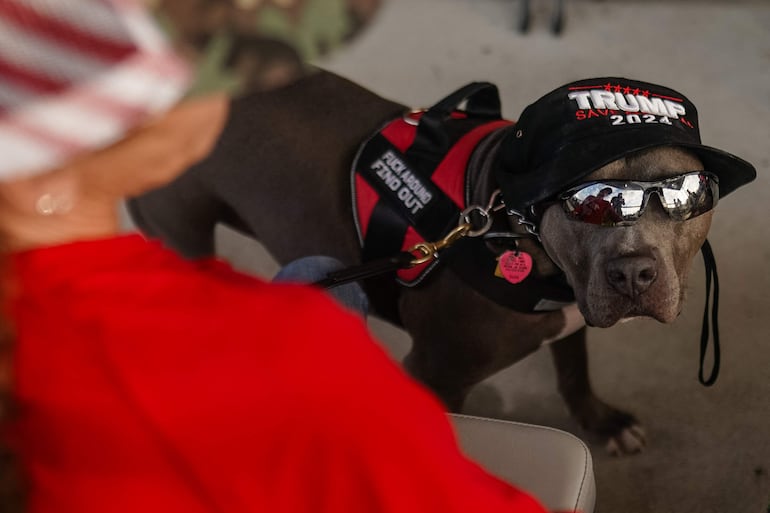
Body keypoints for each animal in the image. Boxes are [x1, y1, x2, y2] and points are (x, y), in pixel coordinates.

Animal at [129, 70, 752, 454]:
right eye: (586, 203)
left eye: (684, 195)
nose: (632, 273)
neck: (503, 217)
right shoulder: (435, 374)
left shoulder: (573, 315)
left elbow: (574, 370)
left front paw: (603, 423)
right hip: (183, 236)